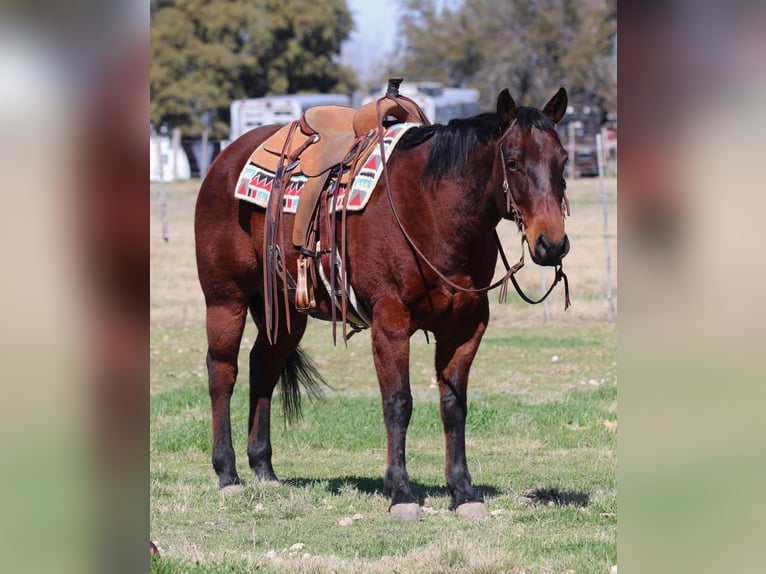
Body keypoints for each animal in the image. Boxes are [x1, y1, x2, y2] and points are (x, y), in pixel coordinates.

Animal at [194, 87, 570, 520]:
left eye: (563, 160)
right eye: (513, 161)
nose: (552, 244)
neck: (432, 208)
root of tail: (225, 158)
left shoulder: (466, 327)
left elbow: (454, 406)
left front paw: (463, 491)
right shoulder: (390, 322)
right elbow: (398, 403)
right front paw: (401, 492)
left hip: (287, 310)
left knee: (263, 367)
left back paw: (264, 469)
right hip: (226, 298)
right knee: (223, 372)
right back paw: (228, 474)